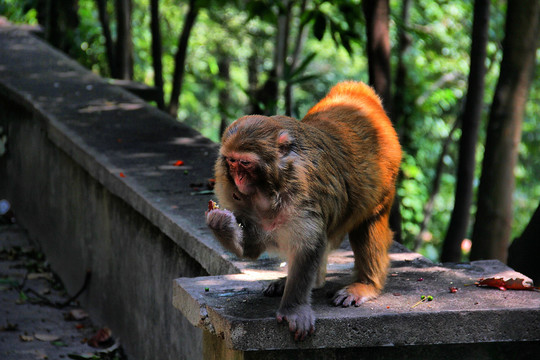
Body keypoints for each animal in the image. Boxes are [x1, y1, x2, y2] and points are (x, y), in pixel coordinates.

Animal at [206, 81, 400, 340]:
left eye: (245, 163)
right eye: (231, 161)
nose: (238, 179)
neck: (268, 190)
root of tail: (357, 94)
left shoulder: (302, 192)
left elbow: (306, 248)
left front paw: (294, 310)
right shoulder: (238, 200)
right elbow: (252, 248)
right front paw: (220, 222)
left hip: (384, 179)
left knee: (366, 226)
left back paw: (365, 285)